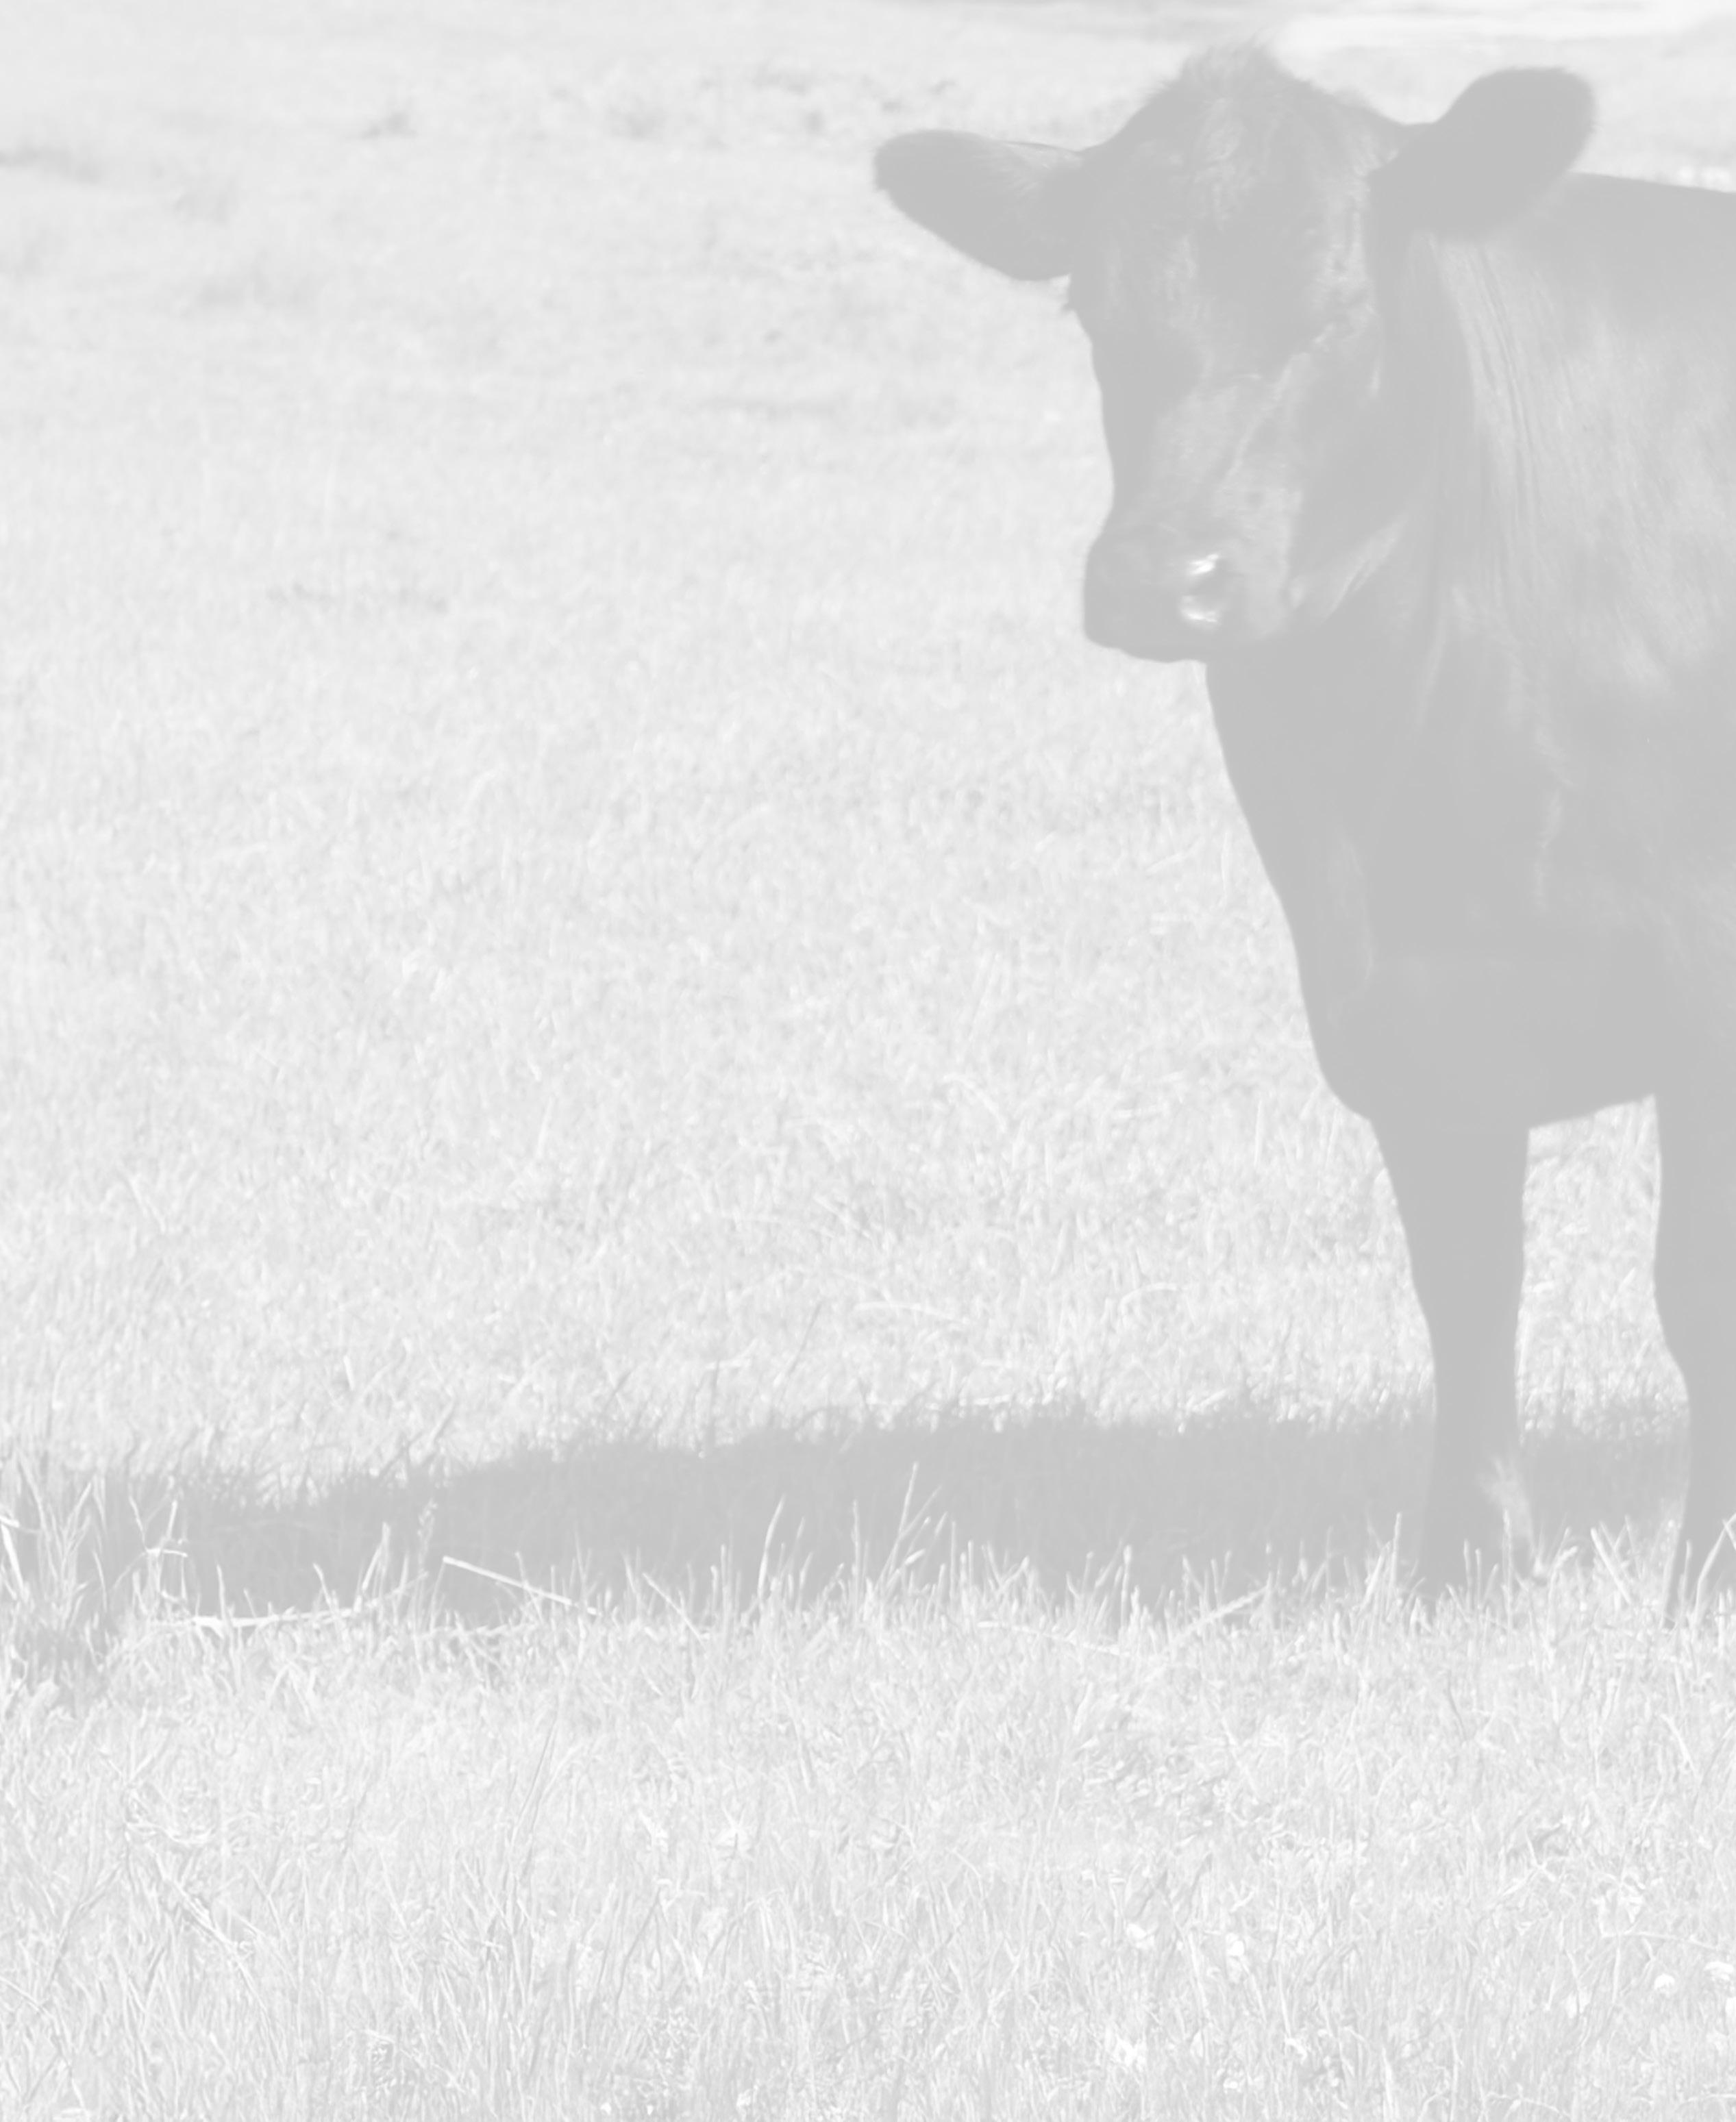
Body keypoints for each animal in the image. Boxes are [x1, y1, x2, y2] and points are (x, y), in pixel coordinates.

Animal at [874, 45, 1736, 1608]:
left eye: (1332, 306)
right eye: (1093, 309)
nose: (1163, 576)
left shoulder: (1708, 988)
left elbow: (1699, 1289)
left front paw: (1703, 1575)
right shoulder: (1398, 1006)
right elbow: (1463, 1280)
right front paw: (1463, 1565)